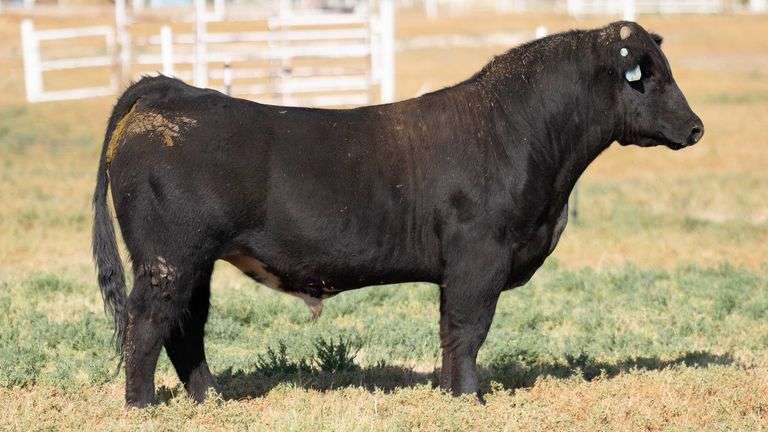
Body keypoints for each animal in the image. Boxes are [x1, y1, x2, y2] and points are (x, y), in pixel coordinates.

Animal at [92, 21, 703, 407]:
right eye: (649, 74)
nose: (696, 127)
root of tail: (170, 90)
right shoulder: (479, 255)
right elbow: (467, 329)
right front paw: (469, 398)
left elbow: (455, 330)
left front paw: (453, 393)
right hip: (170, 258)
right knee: (147, 325)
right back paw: (143, 407)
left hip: (195, 263)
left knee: (184, 327)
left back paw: (211, 400)